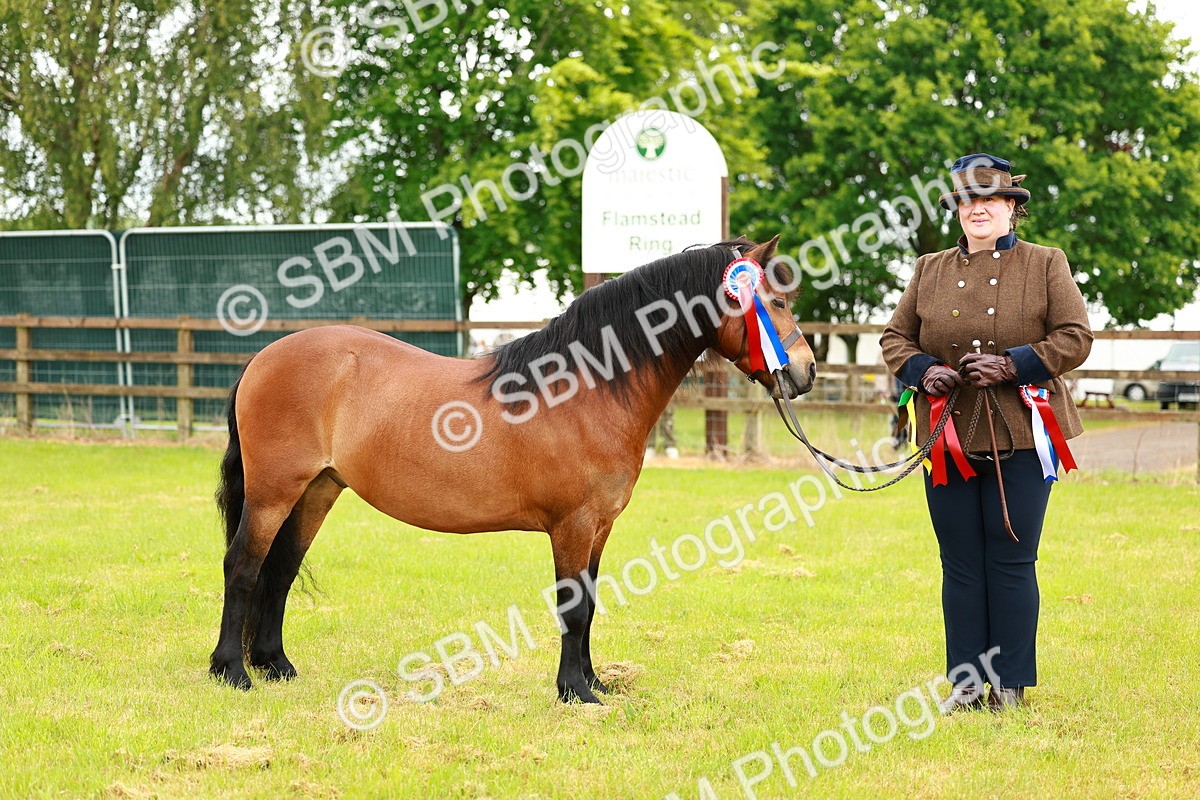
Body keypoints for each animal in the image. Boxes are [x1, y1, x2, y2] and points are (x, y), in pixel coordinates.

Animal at [209, 235, 816, 703]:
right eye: (774, 301)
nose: (806, 372)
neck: (586, 390)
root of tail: (263, 358)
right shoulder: (572, 525)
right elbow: (573, 607)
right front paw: (575, 691)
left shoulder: (599, 527)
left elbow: (591, 602)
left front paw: (594, 681)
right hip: (273, 491)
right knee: (243, 566)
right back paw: (232, 672)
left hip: (316, 489)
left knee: (281, 570)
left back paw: (276, 665)